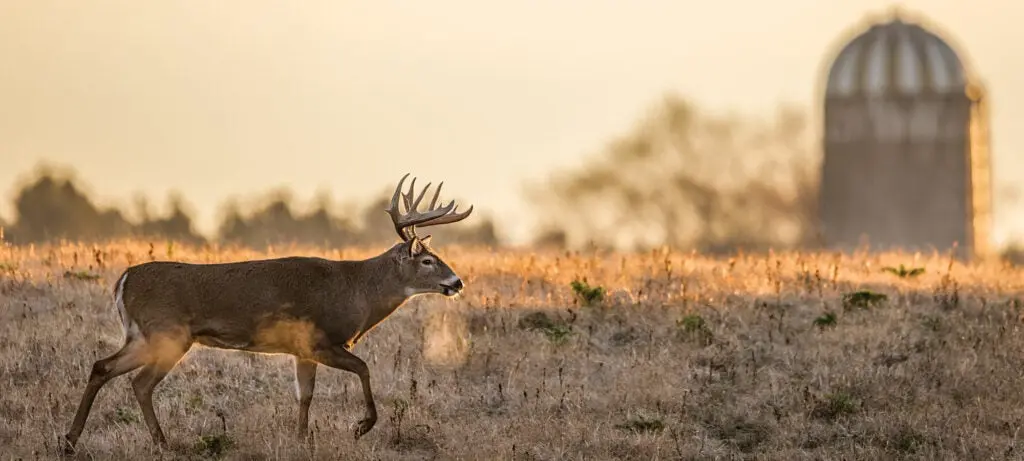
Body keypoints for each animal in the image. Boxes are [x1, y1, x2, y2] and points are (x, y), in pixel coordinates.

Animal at [62, 174, 475, 452]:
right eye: (427, 260)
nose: (457, 282)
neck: (356, 290)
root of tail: (124, 279)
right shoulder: (319, 339)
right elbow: (363, 368)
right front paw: (361, 426)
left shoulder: (303, 351)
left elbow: (305, 395)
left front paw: (302, 439)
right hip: (168, 333)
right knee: (140, 382)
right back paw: (162, 443)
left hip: (143, 335)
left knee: (103, 367)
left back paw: (71, 439)